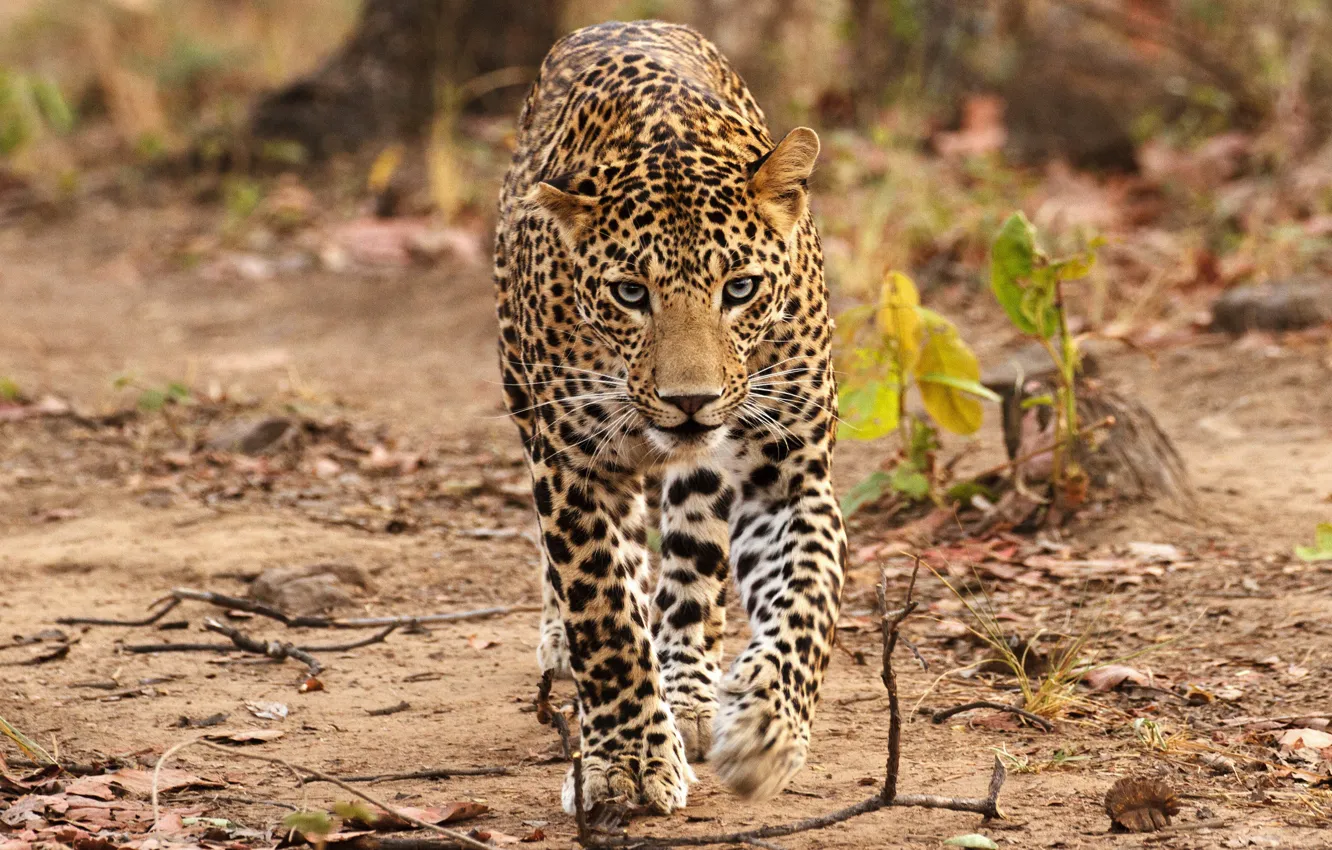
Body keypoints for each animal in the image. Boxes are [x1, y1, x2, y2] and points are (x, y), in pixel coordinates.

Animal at [493, 19, 847, 815]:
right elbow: (605, 614)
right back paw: (571, 649)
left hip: (707, 481)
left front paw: (764, 729)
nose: (691, 400)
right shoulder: (573, 466)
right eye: (630, 293)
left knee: (692, 571)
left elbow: (809, 597)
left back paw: (690, 689)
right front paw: (626, 759)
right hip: (526, 401)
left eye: (740, 288)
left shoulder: (791, 477)